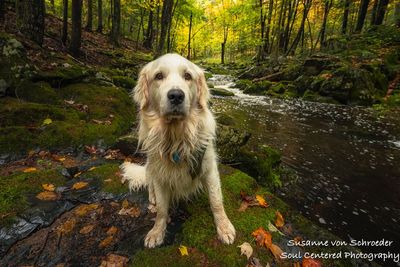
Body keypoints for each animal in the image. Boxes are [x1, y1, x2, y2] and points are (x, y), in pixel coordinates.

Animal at [120, 54, 236, 249]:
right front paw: (156, 232)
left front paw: (224, 227)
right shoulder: (160, 173)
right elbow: (161, 210)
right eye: (159, 76)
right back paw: (152, 198)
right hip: (150, 166)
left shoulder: (209, 168)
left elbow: (216, 201)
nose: (176, 96)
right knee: (150, 184)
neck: (177, 137)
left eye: (187, 76)